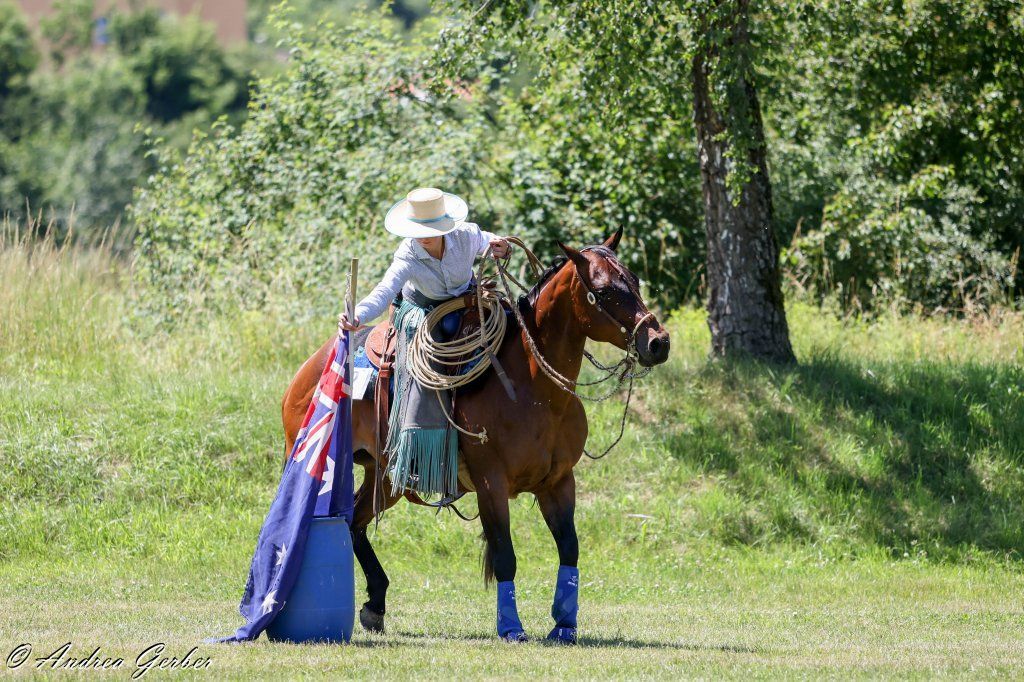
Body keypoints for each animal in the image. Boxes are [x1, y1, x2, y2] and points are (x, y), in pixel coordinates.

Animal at [280, 228, 671, 642]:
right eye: (604, 290)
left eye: (635, 281)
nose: (659, 342)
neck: (533, 389)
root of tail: (309, 369)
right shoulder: (490, 484)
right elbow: (505, 556)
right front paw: (511, 627)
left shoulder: (559, 482)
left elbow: (569, 548)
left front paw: (564, 623)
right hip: (311, 457)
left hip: (385, 476)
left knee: (354, 522)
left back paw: (376, 604)